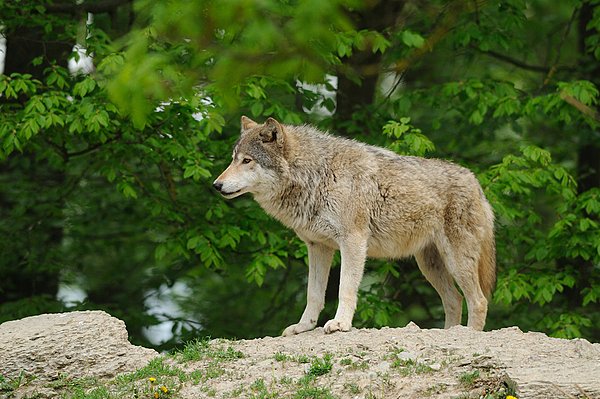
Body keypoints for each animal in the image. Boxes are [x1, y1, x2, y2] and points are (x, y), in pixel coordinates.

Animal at [213, 115, 494, 334]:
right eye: (233, 159)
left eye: (247, 161)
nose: (216, 185)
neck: (316, 175)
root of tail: (476, 182)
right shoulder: (318, 247)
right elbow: (313, 294)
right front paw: (304, 327)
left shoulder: (353, 241)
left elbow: (344, 288)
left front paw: (340, 324)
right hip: (429, 265)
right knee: (455, 299)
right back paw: (450, 332)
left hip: (455, 261)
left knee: (478, 300)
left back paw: (469, 334)